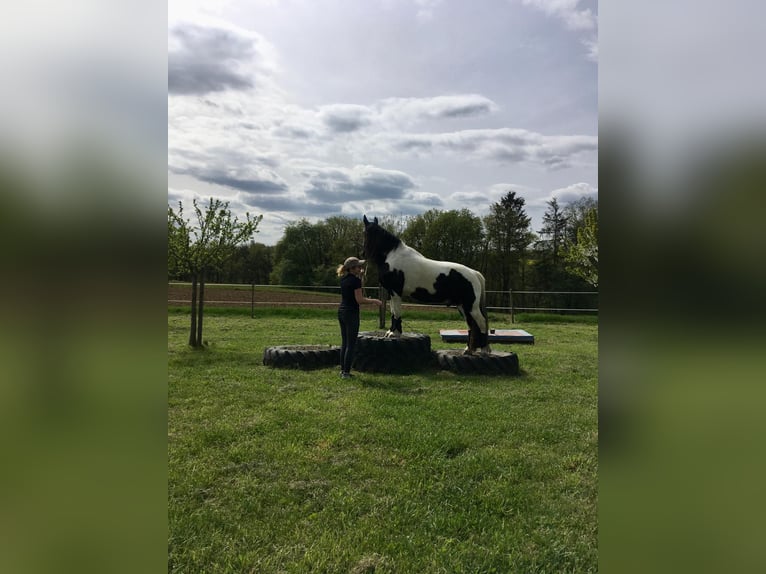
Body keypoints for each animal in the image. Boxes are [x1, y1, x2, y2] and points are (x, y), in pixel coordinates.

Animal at [362, 215, 491, 355]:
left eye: (366, 233)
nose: (364, 254)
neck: (392, 256)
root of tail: (474, 273)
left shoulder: (396, 292)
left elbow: (396, 313)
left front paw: (393, 334)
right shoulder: (392, 293)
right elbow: (393, 313)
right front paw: (391, 332)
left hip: (471, 306)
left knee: (481, 323)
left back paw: (484, 350)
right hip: (462, 306)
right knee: (472, 326)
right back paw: (468, 349)